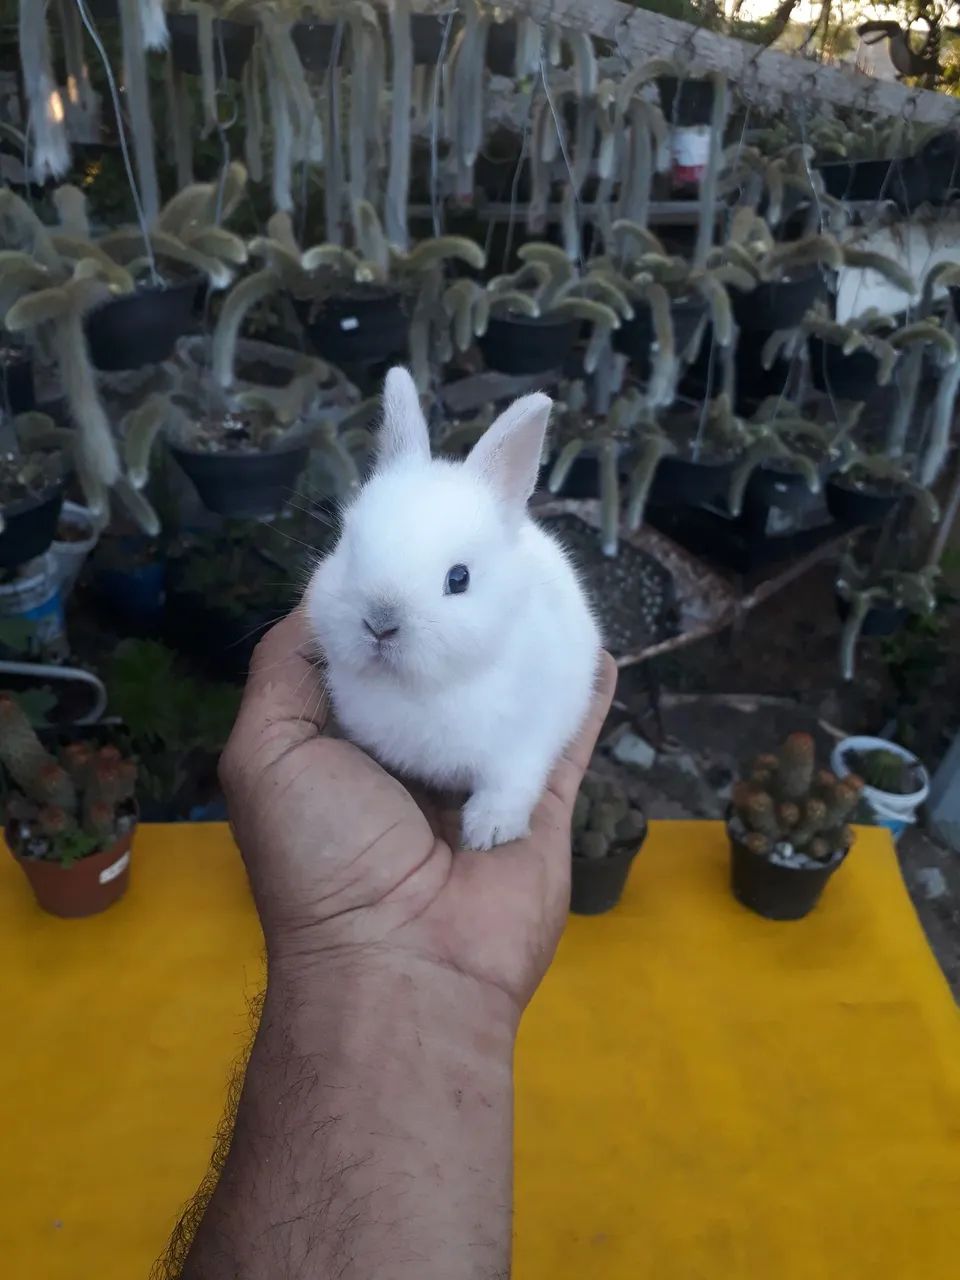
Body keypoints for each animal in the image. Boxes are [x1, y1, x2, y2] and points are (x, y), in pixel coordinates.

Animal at [303, 366, 602, 851]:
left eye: (458, 579)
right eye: (347, 547)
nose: (380, 624)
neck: (419, 688)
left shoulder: (524, 744)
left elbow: (509, 785)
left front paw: (489, 832)